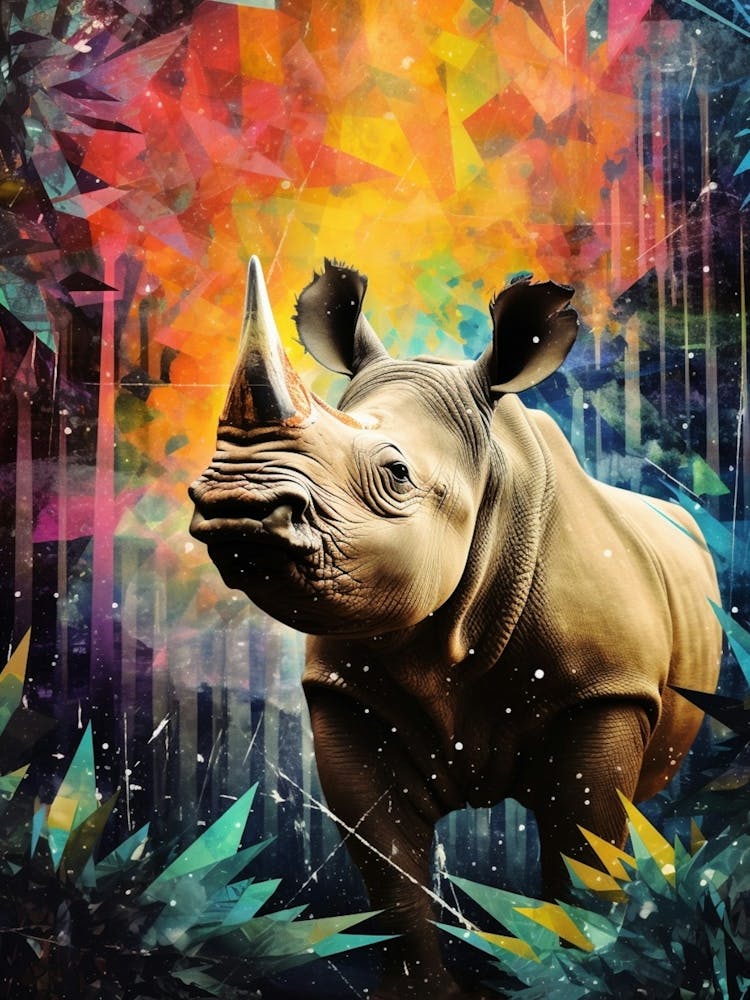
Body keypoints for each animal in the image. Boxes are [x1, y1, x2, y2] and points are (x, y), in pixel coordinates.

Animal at [189, 257, 722, 1000]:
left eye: (396, 472)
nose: (236, 502)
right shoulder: (348, 694)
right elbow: (388, 864)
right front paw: (424, 990)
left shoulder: (607, 689)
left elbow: (586, 851)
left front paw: (574, 977)